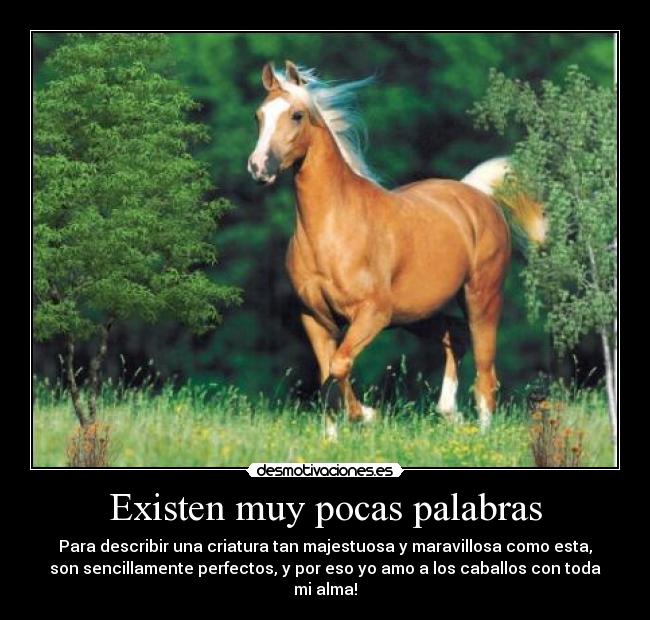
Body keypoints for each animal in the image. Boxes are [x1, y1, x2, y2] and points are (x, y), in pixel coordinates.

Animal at [247, 60, 545, 436]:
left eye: (297, 115)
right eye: (259, 115)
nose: (259, 167)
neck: (332, 228)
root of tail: (477, 195)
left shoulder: (373, 313)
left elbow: (340, 365)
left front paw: (367, 415)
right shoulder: (315, 318)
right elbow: (328, 374)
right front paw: (332, 438)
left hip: (482, 298)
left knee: (486, 375)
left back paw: (482, 433)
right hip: (418, 313)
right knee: (456, 336)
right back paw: (448, 411)